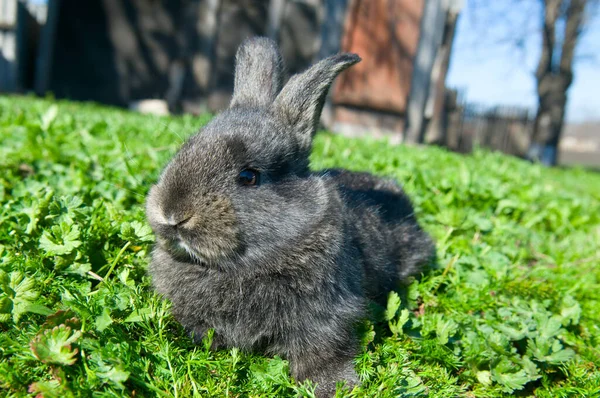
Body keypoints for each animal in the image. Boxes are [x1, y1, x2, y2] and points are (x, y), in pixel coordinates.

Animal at [145, 36, 436, 394]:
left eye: (249, 176)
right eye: (184, 148)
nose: (172, 214)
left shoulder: (325, 318)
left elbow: (322, 354)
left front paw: (334, 387)